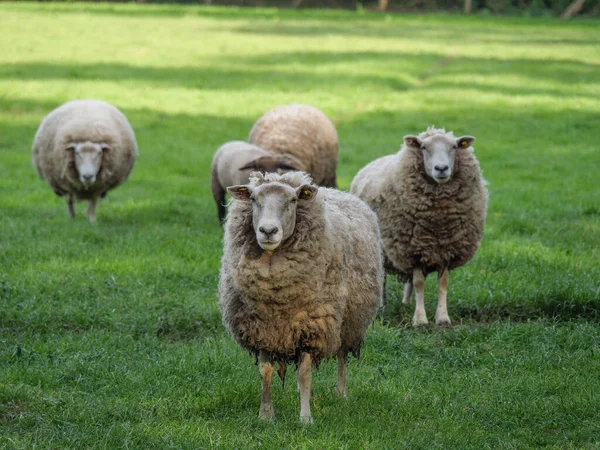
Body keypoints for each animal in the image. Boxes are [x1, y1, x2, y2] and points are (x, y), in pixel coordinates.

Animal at [218, 171, 382, 424]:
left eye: (293, 200)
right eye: (254, 199)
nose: (268, 231)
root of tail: (339, 192)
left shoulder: (310, 325)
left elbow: (305, 373)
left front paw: (305, 418)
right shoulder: (262, 327)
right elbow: (265, 371)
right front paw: (265, 415)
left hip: (349, 320)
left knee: (342, 355)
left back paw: (341, 392)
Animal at [352, 125, 488, 326]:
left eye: (454, 147)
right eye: (423, 147)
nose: (441, 168)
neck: (438, 222)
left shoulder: (446, 249)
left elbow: (442, 283)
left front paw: (442, 317)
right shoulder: (412, 248)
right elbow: (419, 283)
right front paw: (420, 320)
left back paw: (407, 303)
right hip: (381, 249)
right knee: (382, 278)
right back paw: (383, 307)